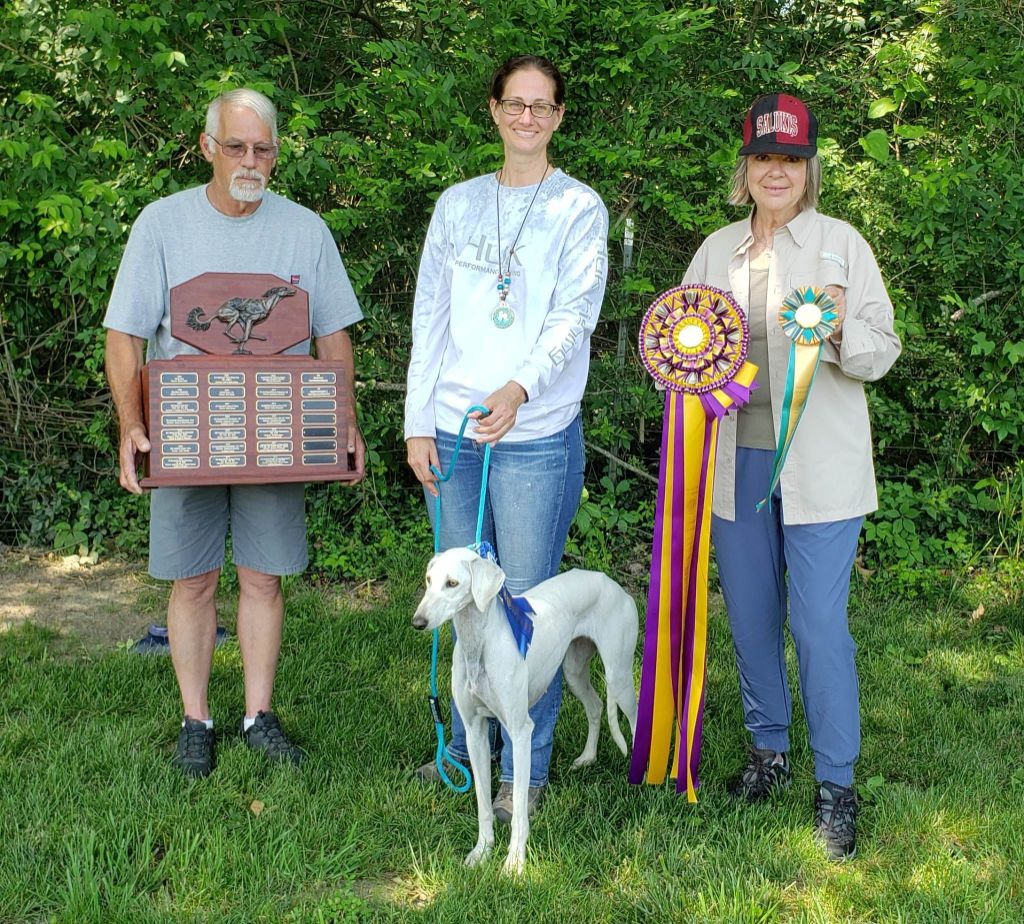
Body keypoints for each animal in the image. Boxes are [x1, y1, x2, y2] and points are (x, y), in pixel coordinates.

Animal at [409, 549, 634, 876]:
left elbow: (517, 811)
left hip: (620, 677)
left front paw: (514, 863)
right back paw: (587, 757)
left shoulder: (520, 732)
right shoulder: (475, 732)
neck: (480, 644)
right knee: (596, 706)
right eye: (428, 580)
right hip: (574, 670)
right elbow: (483, 806)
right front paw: (482, 852)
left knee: (640, 719)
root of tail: (612, 583)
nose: (418, 621)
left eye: (452, 583)